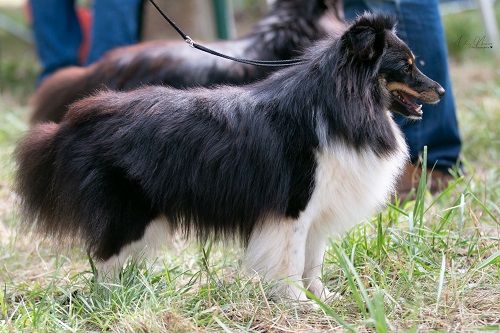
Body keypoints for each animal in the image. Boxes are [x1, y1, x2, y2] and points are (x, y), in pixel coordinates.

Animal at [16, 13, 446, 300]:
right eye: (406, 66)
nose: (441, 90)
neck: (343, 104)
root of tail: (75, 119)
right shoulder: (294, 208)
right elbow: (292, 261)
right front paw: (298, 304)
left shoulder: (319, 210)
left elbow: (313, 261)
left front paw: (324, 300)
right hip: (129, 213)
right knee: (104, 260)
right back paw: (114, 301)